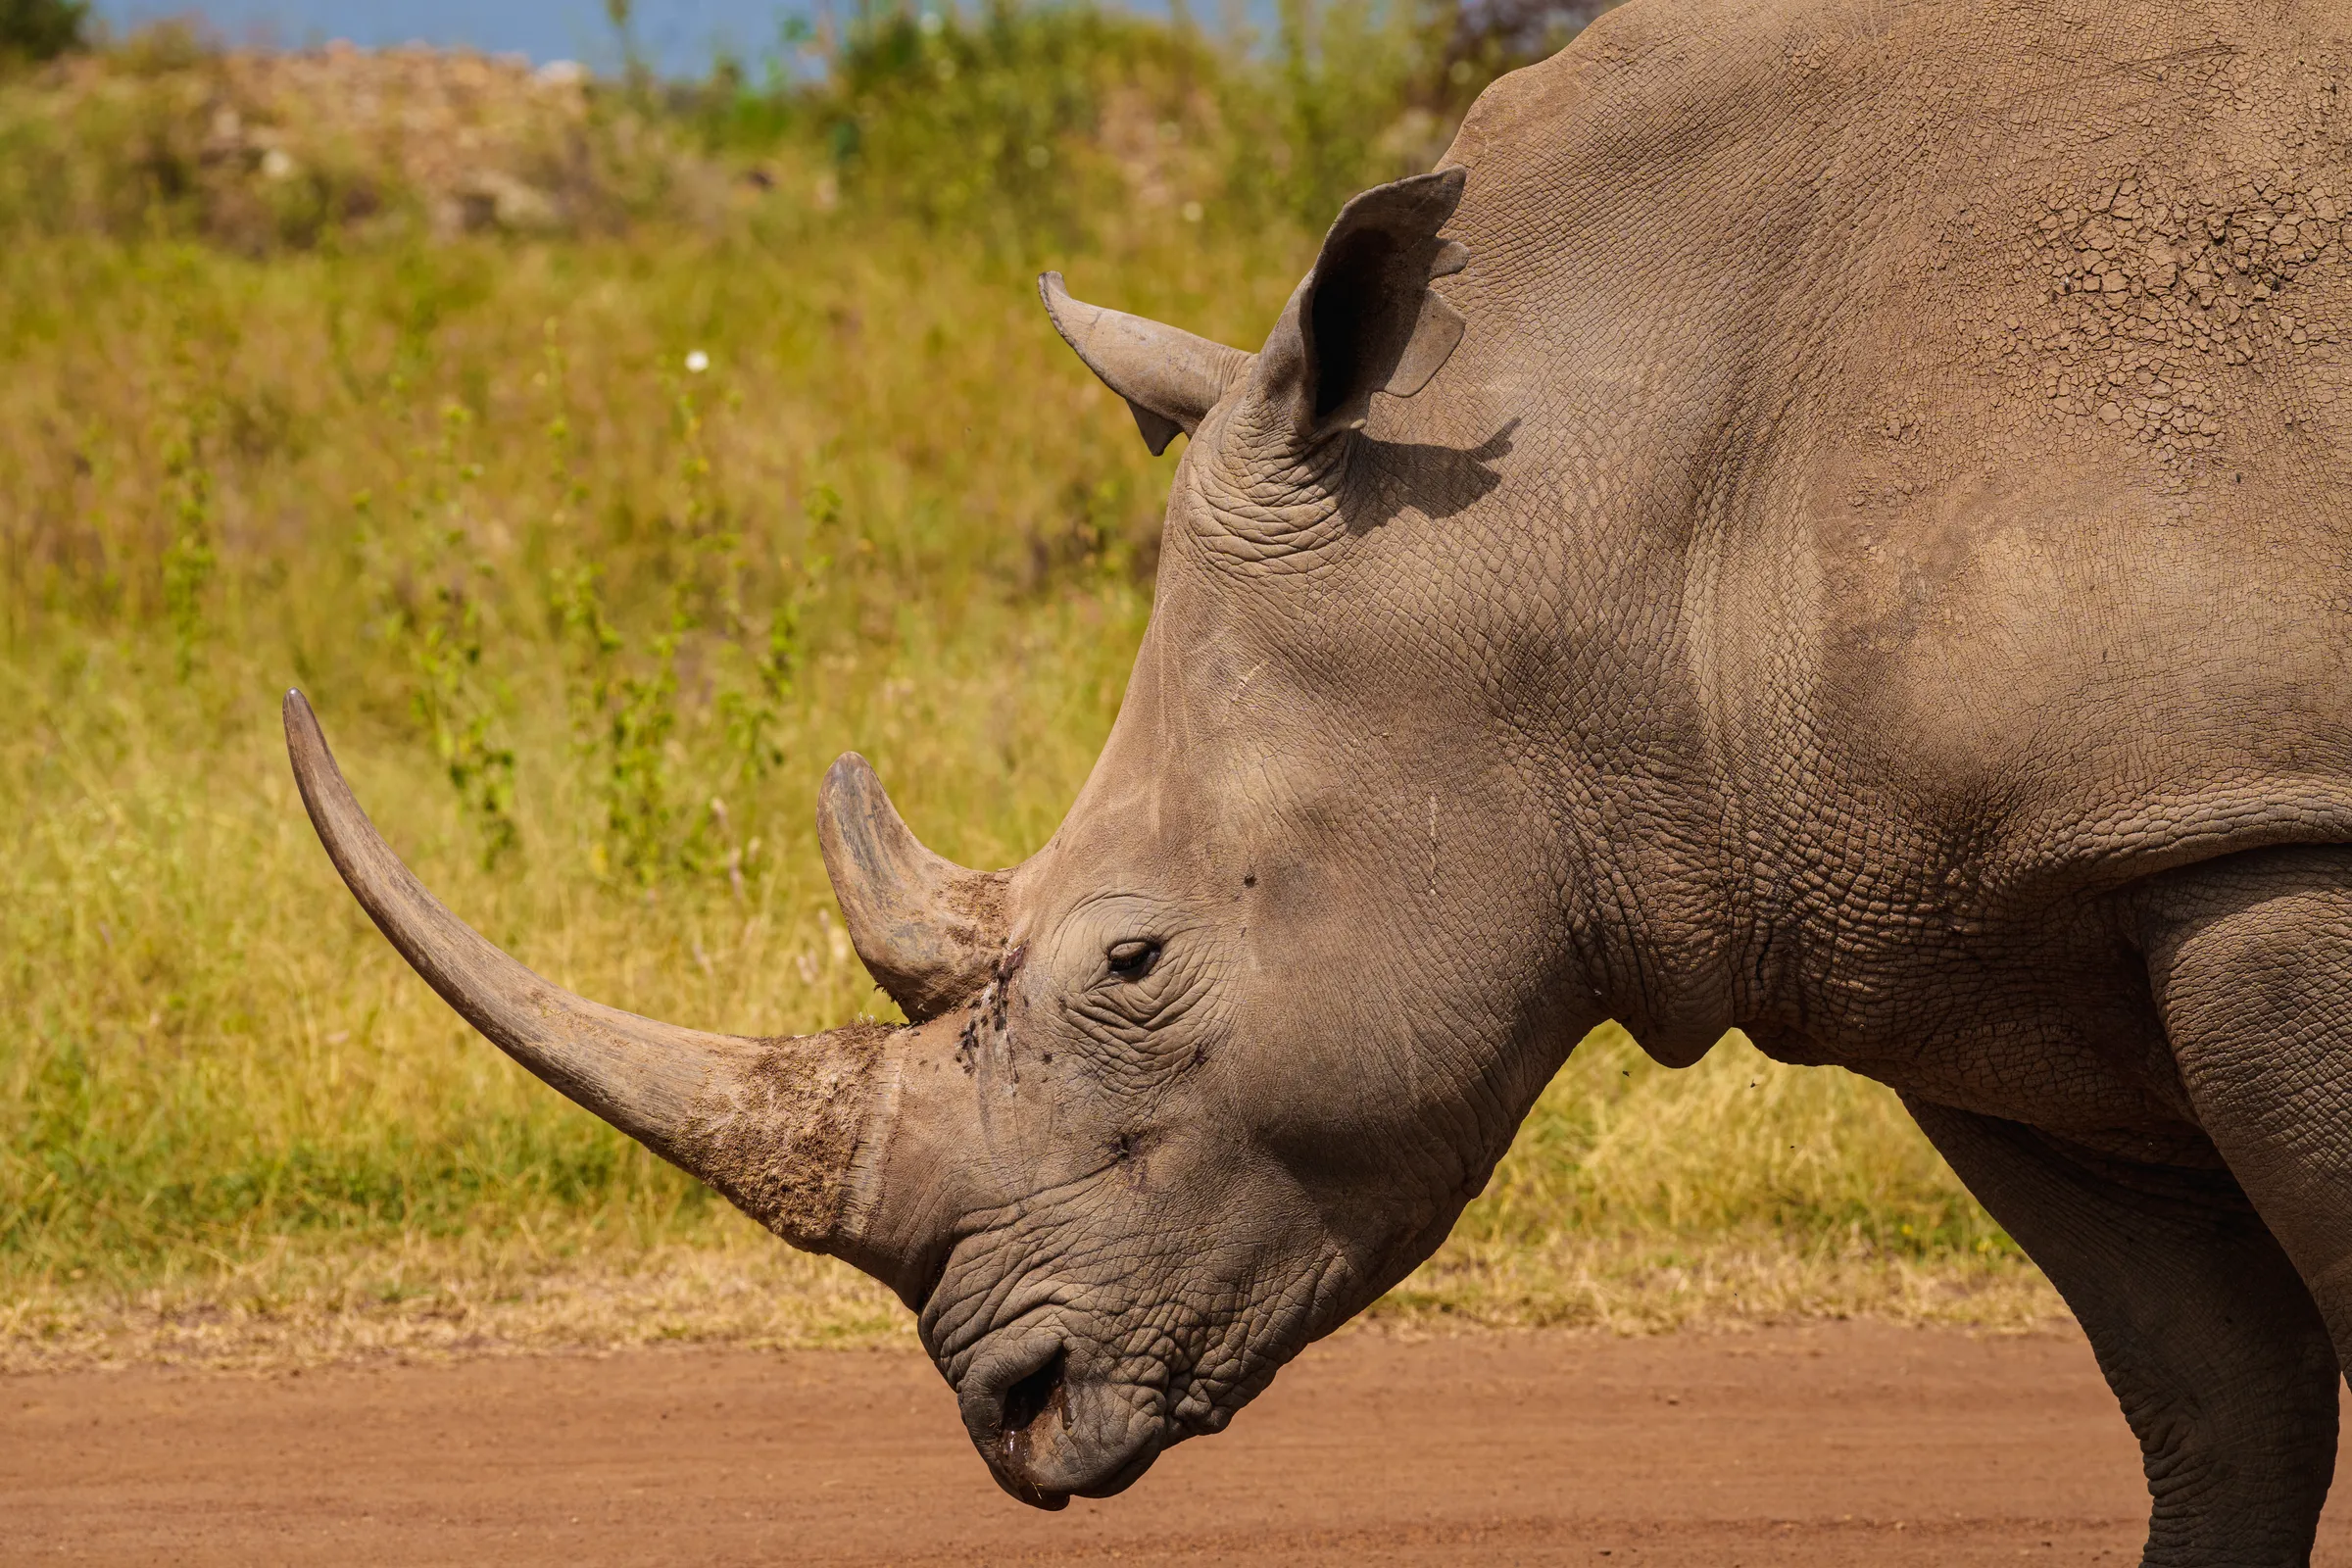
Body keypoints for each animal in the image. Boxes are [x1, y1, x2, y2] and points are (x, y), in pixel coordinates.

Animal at [285, 0, 2352, 1558]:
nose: (1010, 1410)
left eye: (1133, 963)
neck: (1603, 465)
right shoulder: (1962, 896)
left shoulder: (2254, 843)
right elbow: (2217, 1406)